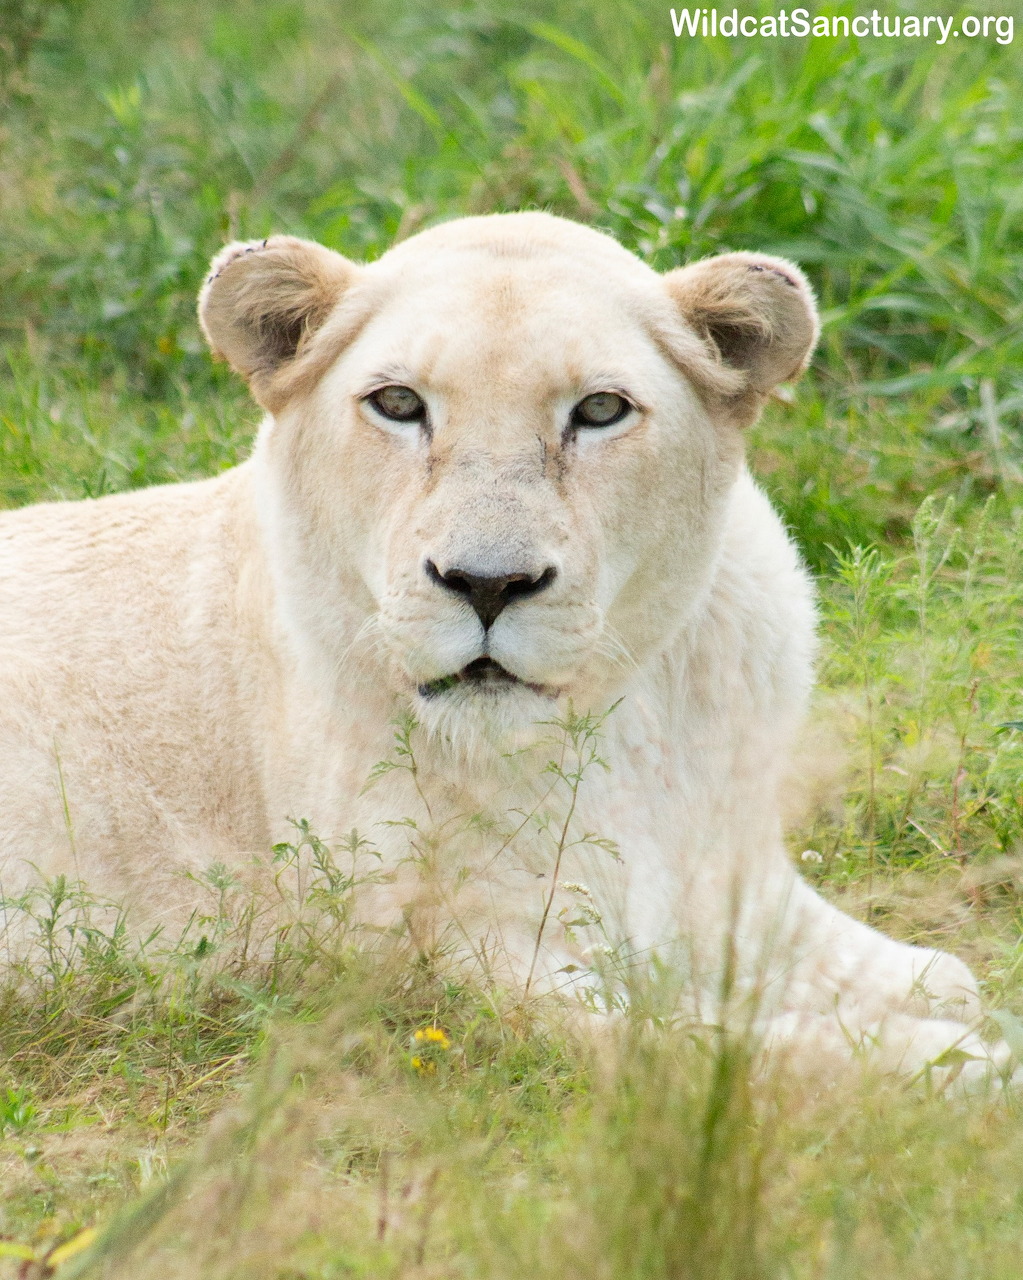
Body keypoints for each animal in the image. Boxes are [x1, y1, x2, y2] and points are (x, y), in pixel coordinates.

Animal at [0, 211, 1009, 1082]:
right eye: (397, 403)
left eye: (599, 410)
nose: (487, 584)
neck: (614, 733)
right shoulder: (472, 967)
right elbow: (748, 1047)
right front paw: (965, 1072)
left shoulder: (728, 873)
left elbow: (943, 975)